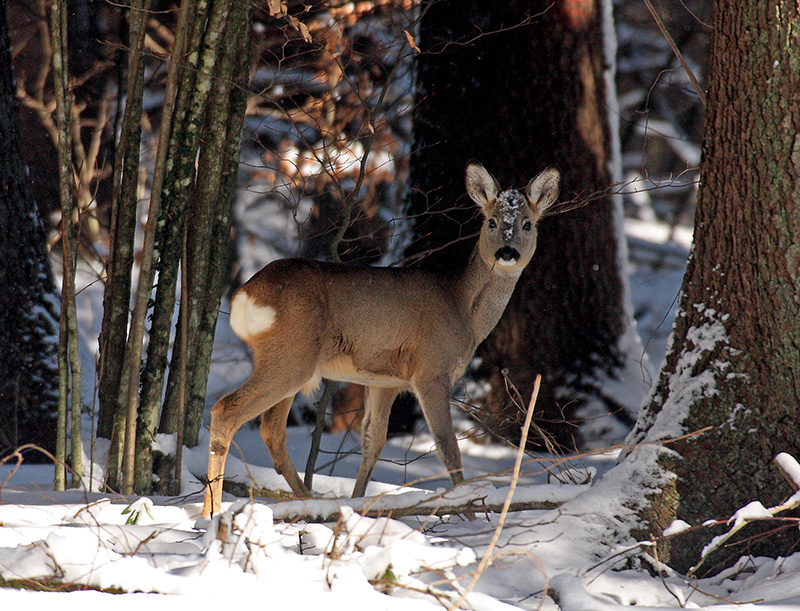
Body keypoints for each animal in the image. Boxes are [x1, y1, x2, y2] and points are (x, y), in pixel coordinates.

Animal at [203, 161, 560, 516]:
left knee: (272, 431)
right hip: (292, 357)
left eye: (528, 224)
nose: (507, 252)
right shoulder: (431, 370)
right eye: (491, 221)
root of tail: (245, 295)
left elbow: (372, 441)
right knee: (226, 411)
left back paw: (306, 501)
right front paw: (468, 508)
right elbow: (448, 447)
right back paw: (213, 510)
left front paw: (359, 503)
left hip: (289, 361)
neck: (462, 309)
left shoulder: (384, 381)